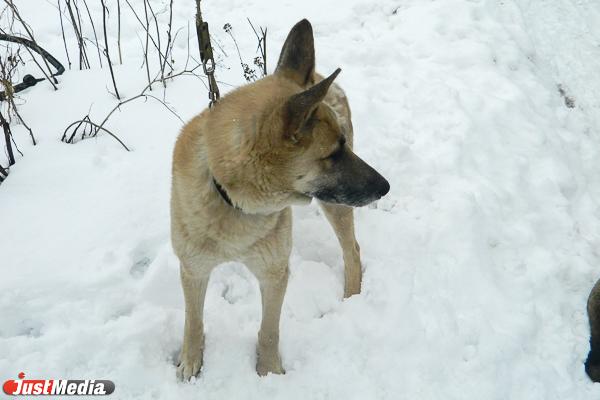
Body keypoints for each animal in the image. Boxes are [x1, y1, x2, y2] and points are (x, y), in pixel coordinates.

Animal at [171, 18, 392, 378]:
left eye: (343, 145)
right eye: (333, 153)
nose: (386, 187)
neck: (233, 201)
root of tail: (318, 78)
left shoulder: (273, 274)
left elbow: (269, 330)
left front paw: (269, 371)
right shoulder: (193, 269)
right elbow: (193, 321)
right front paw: (191, 362)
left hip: (335, 204)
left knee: (353, 250)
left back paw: (352, 295)